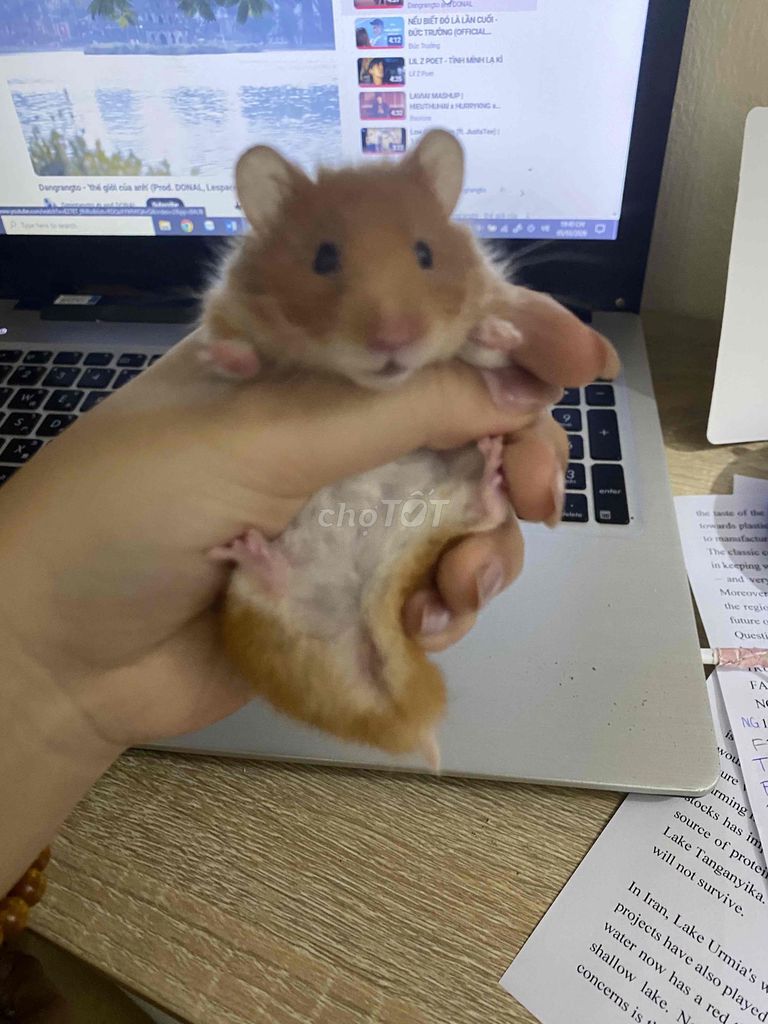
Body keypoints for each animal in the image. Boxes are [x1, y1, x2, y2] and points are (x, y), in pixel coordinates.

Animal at [202, 131, 551, 768]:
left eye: (425, 253)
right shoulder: (226, 308)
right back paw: (255, 555)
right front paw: (226, 357)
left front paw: (495, 332)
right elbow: (237, 356)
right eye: (323, 258)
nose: (394, 341)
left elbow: (490, 353)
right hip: (250, 610)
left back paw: (492, 471)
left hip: (442, 515)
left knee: (481, 509)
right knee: (272, 590)